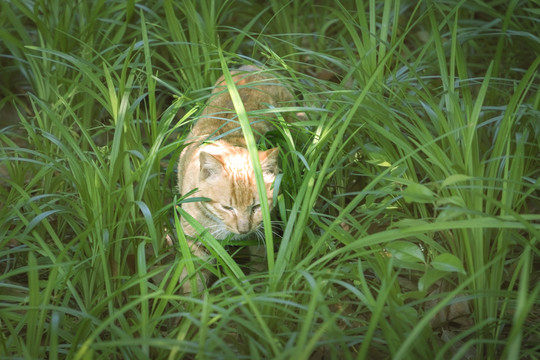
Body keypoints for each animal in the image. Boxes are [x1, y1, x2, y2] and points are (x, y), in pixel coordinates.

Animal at [175, 64, 294, 292]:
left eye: (256, 207)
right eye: (227, 207)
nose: (243, 229)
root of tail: (252, 67)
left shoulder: (260, 234)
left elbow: (260, 267)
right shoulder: (194, 239)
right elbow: (193, 281)